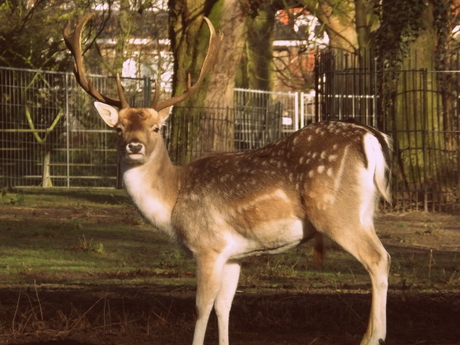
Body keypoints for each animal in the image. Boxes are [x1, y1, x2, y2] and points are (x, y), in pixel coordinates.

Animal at [63, 13, 392, 344]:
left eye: (156, 128)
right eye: (118, 128)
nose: (134, 146)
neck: (173, 200)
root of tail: (370, 137)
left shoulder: (208, 245)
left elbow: (202, 306)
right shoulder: (234, 255)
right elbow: (224, 306)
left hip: (336, 212)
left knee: (378, 259)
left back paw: (373, 337)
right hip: (365, 212)